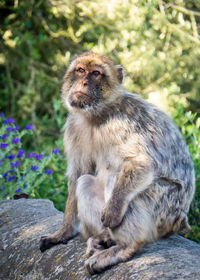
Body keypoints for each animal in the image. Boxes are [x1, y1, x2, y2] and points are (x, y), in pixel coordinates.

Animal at [39, 52, 195, 274]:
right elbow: (78, 175)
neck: (96, 116)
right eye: (80, 70)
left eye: (96, 74)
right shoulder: (74, 127)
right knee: (86, 182)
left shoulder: (121, 124)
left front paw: (113, 213)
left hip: (166, 209)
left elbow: (141, 163)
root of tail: (181, 221)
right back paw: (104, 238)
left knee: (118, 179)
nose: (84, 82)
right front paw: (63, 233)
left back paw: (125, 247)